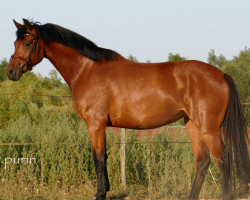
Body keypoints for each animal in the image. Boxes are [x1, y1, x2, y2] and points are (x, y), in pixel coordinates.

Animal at [6, 18, 250, 198]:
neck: (87, 70)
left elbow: (98, 158)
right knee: (202, 161)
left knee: (223, 160)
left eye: (27, 43)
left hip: (209, 128)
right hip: (192, 125)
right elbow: (103, 157)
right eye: (15, 43)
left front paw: (100, 194)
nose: (10, 72)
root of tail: (221, 74)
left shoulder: (95, 124)